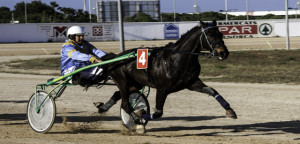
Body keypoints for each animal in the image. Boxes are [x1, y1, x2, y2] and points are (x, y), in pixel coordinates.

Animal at [97, 20, 236, 133]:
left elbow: (212, 91)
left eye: (221, 34)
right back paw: (137, 122)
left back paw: (103, 107)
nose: (223, 53)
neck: (177, 59)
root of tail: (115, 57)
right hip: (123, 81)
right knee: (126, 105)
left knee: (118, 95)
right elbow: (158, 113)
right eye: (209, 34)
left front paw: (230, 111)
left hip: (135, 83)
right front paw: (141, 114)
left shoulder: (191, 82)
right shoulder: (162, 89)